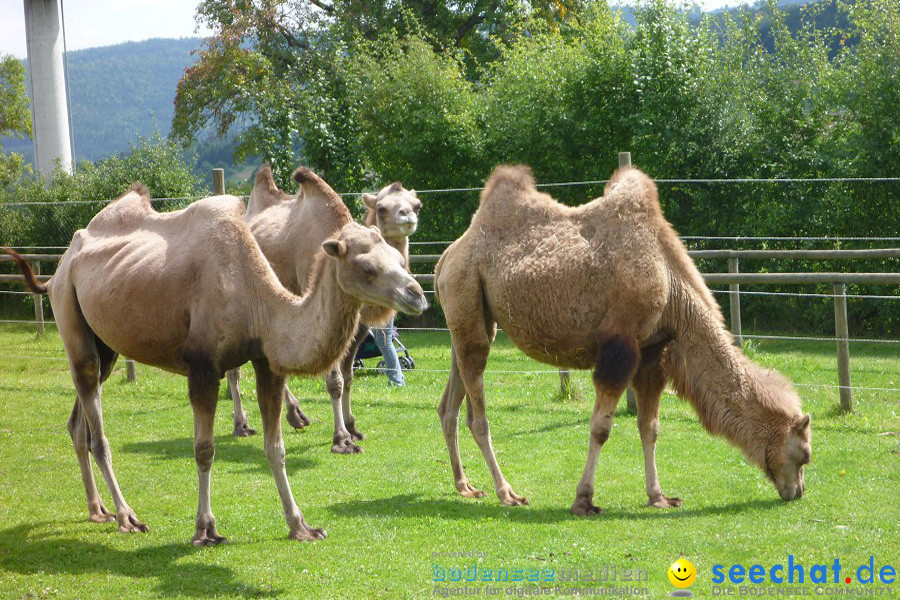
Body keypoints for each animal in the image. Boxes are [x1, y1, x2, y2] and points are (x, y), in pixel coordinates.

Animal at [225, 166, 422, 452]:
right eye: (382, 207)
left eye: (417, 205)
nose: (407, 216)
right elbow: (335, 381)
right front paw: (341, 438)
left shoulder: (356, 327)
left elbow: (348, 376)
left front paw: (353, 427)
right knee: (237, 368)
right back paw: (244, 424)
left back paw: (295, 416)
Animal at [432, 165, 812, 516]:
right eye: (804, 454)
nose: (797, 492)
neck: (671, 284)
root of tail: (446, 257)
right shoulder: (621, 345)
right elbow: (601, 428)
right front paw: (584, 500)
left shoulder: (651, 350)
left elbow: (650, 426)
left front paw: (659, 496)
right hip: (467, 291)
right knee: (477, 416)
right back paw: (507, 493)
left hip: (471, 320)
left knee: (449, 404)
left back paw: (466, 486)